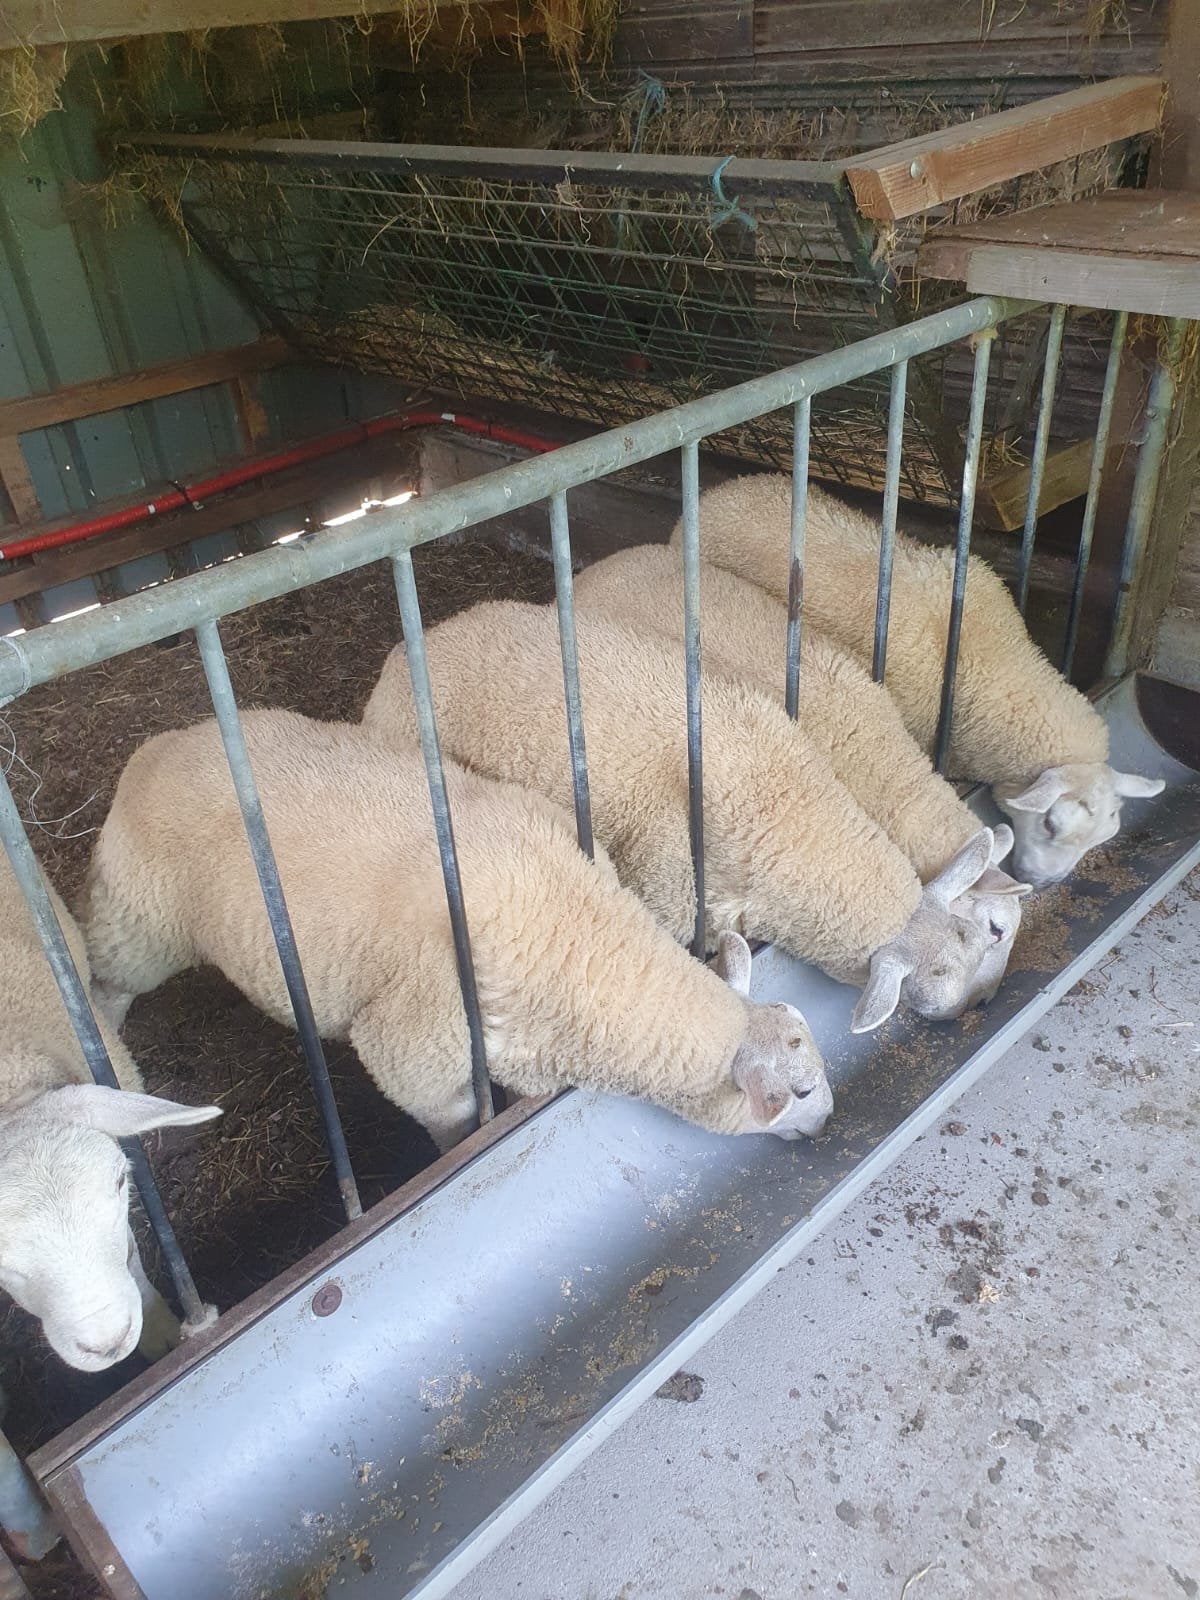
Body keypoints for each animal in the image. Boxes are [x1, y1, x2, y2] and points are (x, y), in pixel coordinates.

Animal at [82, 710, 833, 1152]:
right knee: (107, 980)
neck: (575, 934)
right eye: (796, 1094)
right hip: (138, 915)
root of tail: (160, 743)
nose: (827, 1120)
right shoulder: (417, 1054)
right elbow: (456, 1124)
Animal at [361, 601, 1000, 1032]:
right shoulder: (668, 892)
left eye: (982, 940)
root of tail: (405, 652)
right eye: (939, 988)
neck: (783, 812)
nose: (984, 1007)